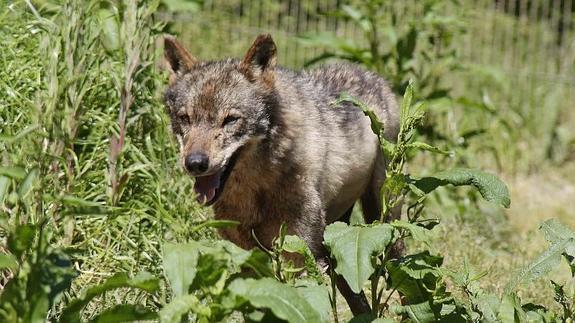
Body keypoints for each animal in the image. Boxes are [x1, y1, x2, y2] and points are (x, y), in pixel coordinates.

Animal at [162, 34, 400, 316]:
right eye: (185, 118)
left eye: (230, 120)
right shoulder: (245, 257)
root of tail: (370, 73)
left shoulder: (300, 254)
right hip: (336, 241)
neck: (257, 189)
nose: (195, 163)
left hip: (381, 218)